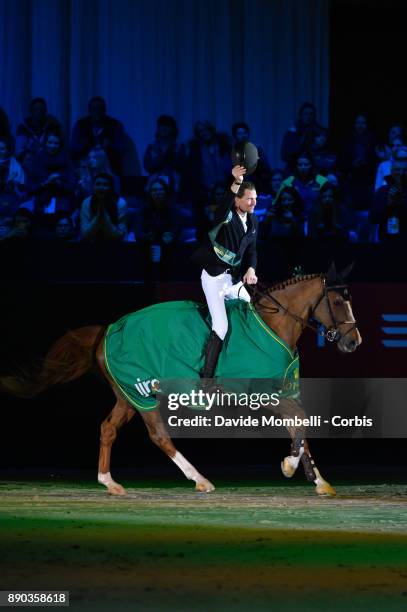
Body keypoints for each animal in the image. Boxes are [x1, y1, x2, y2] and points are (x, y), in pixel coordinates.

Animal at [1, 262, 362, 498]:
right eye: (338, 301)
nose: (353, 342)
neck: (274, 325)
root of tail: (108, 329)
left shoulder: (284, 391)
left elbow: (301, 425)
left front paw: (318, 481)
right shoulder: (260, 394)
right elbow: (299, 421)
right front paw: (289, 466)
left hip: (128, 394)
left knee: (108, 428)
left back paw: (110, 482)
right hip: (140, 392)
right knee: (159, 435)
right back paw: (199, 479)